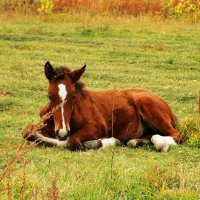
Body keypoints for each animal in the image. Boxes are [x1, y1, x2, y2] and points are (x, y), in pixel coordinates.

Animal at [22, 61, 185, 152]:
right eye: (50, 96)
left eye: (73, 96)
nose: (62, 132)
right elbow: (28, 132)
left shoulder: (98, 128)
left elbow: (72, 141)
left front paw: (108, 142)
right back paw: (136, 142)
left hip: (148, 106)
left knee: (177, 136)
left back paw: (161, 144)